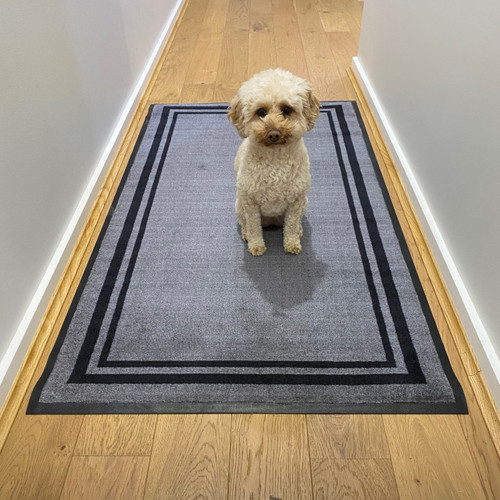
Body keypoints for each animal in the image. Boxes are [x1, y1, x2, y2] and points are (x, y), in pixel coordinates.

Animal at [228, 69, 318, 256]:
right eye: (261, 112)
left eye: (287, 109)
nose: (274, 133)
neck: (275, 161)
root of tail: (272, 221)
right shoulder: (250, 203)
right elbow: (254, 227)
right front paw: (256, 246)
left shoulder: (296, 201)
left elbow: (291, 226)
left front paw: (292, 244)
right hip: (239, 204)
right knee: (245, 223)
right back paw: (246, 234)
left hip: (304, 204)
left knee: (294, 223)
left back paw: (299, 230)